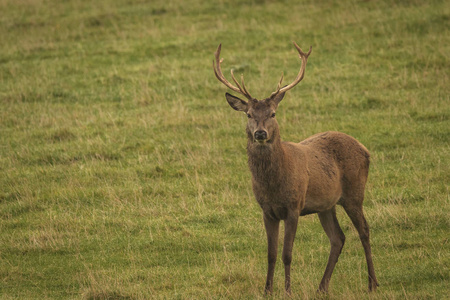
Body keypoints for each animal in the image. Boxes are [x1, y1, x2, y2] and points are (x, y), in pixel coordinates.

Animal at [213, 42, 378, 296]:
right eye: (249, 114)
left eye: (273, 113)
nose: (260, 133)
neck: (273, 185)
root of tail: (365, 149)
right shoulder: (267, 210)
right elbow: (271, 254)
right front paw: (267, 291)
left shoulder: (294, 206)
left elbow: (287, 254)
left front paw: (288, 291)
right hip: (326, 205)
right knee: (338, 238)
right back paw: (322, 287)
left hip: (354, 193)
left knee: (364, 230)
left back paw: (372, 284)